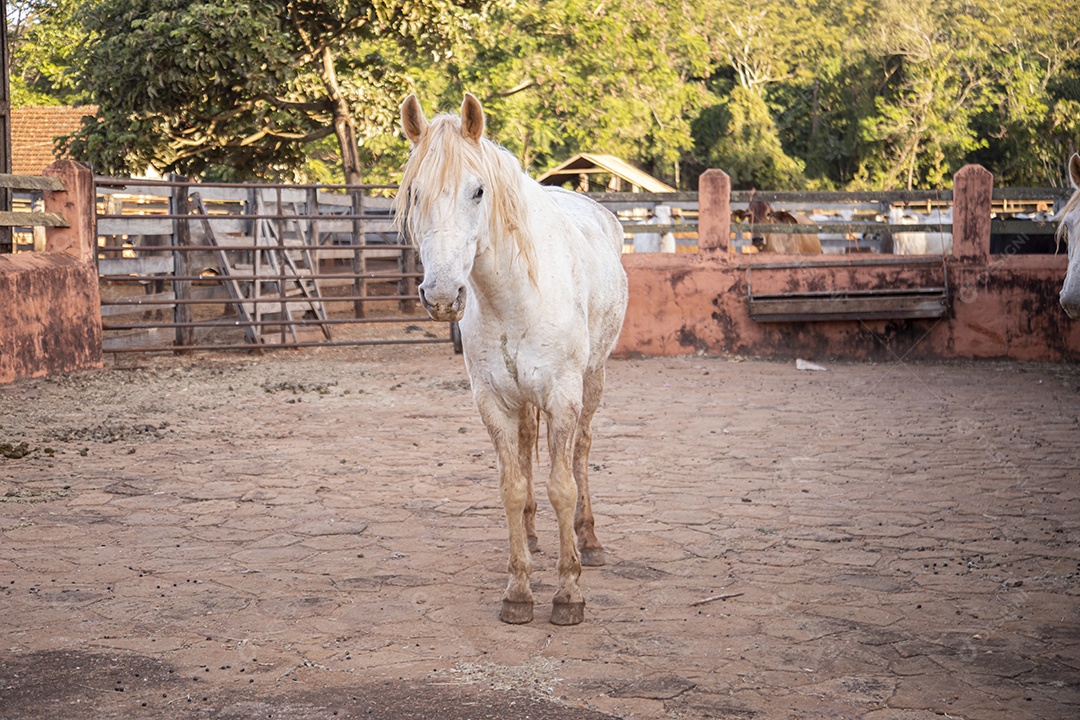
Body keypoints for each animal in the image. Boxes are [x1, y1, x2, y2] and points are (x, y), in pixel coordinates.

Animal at [393, 94, 629, 625]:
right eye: (414, 192)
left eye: (478, 191)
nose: (442, 295)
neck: (516, 296)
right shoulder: (493, 401)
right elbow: (512, 486)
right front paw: (518, 590)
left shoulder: (563, 397)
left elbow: (562, 484)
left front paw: (568, 592)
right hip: (524, 399)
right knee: (526, 450)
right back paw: (536, 535)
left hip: (595, 378)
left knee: (582, 453)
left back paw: (590, 539)